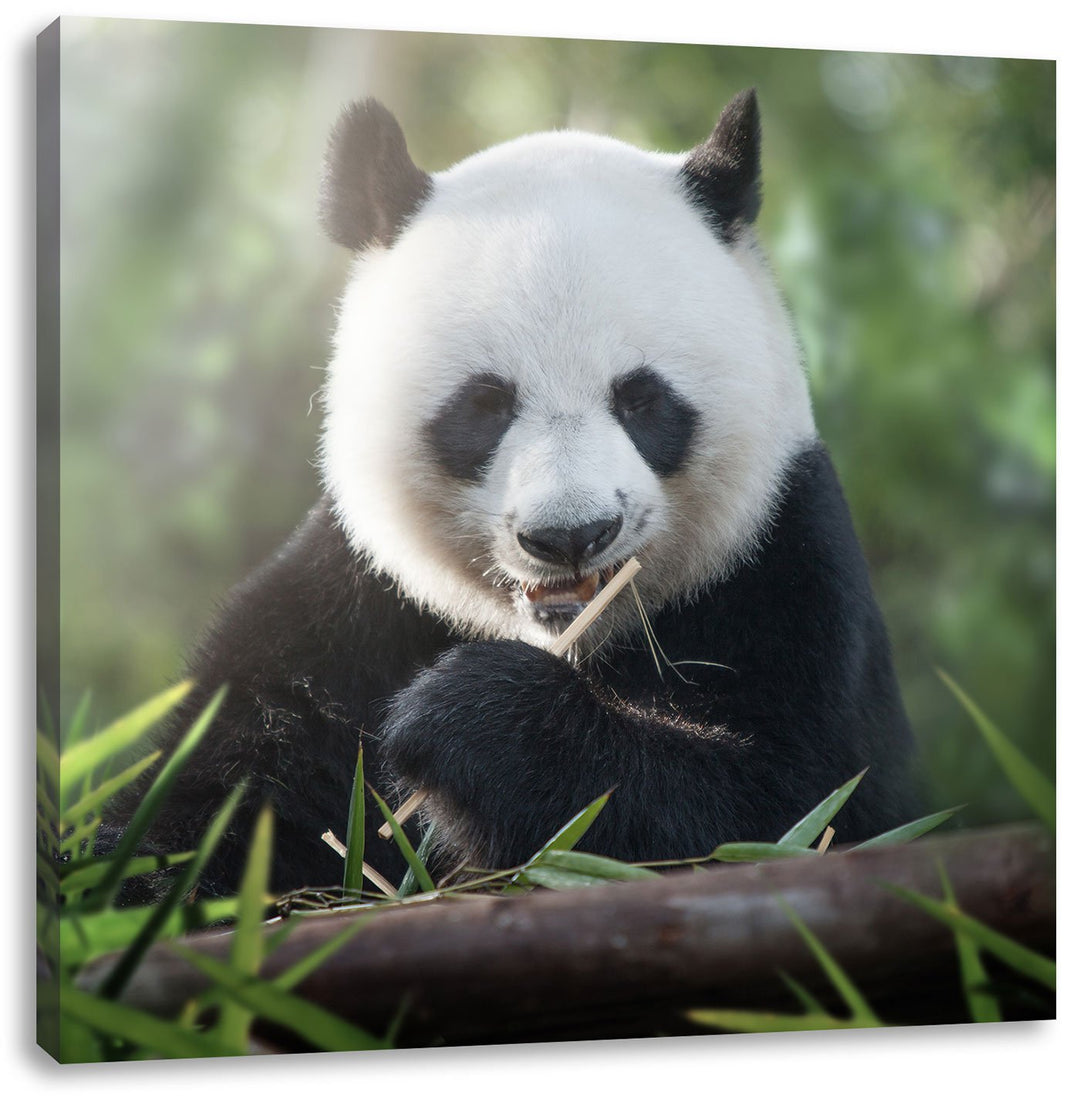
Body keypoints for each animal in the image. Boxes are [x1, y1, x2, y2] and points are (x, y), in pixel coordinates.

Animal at [106, 90, 919, 899]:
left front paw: (464, 716)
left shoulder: (781, 567)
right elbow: (212, 791)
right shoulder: (354, 606)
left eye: (642, 399)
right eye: (485, 404)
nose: (571, 535)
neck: (570, 636)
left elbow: (786, 808)